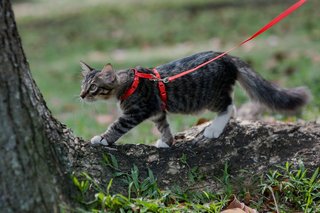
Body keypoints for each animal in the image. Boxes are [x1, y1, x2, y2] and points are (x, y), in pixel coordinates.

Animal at [79, 51, 310, 148]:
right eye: (82, 86)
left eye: (93, 88)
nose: (81, 95)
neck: (129, 82)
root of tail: (227, 57)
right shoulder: (157, 111)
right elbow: (163, 126)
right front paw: (167, 141)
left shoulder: (136, 111)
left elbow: (117, 126)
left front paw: (102, 139)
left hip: (211, 96)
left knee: (229, 106)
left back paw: (214, 128)